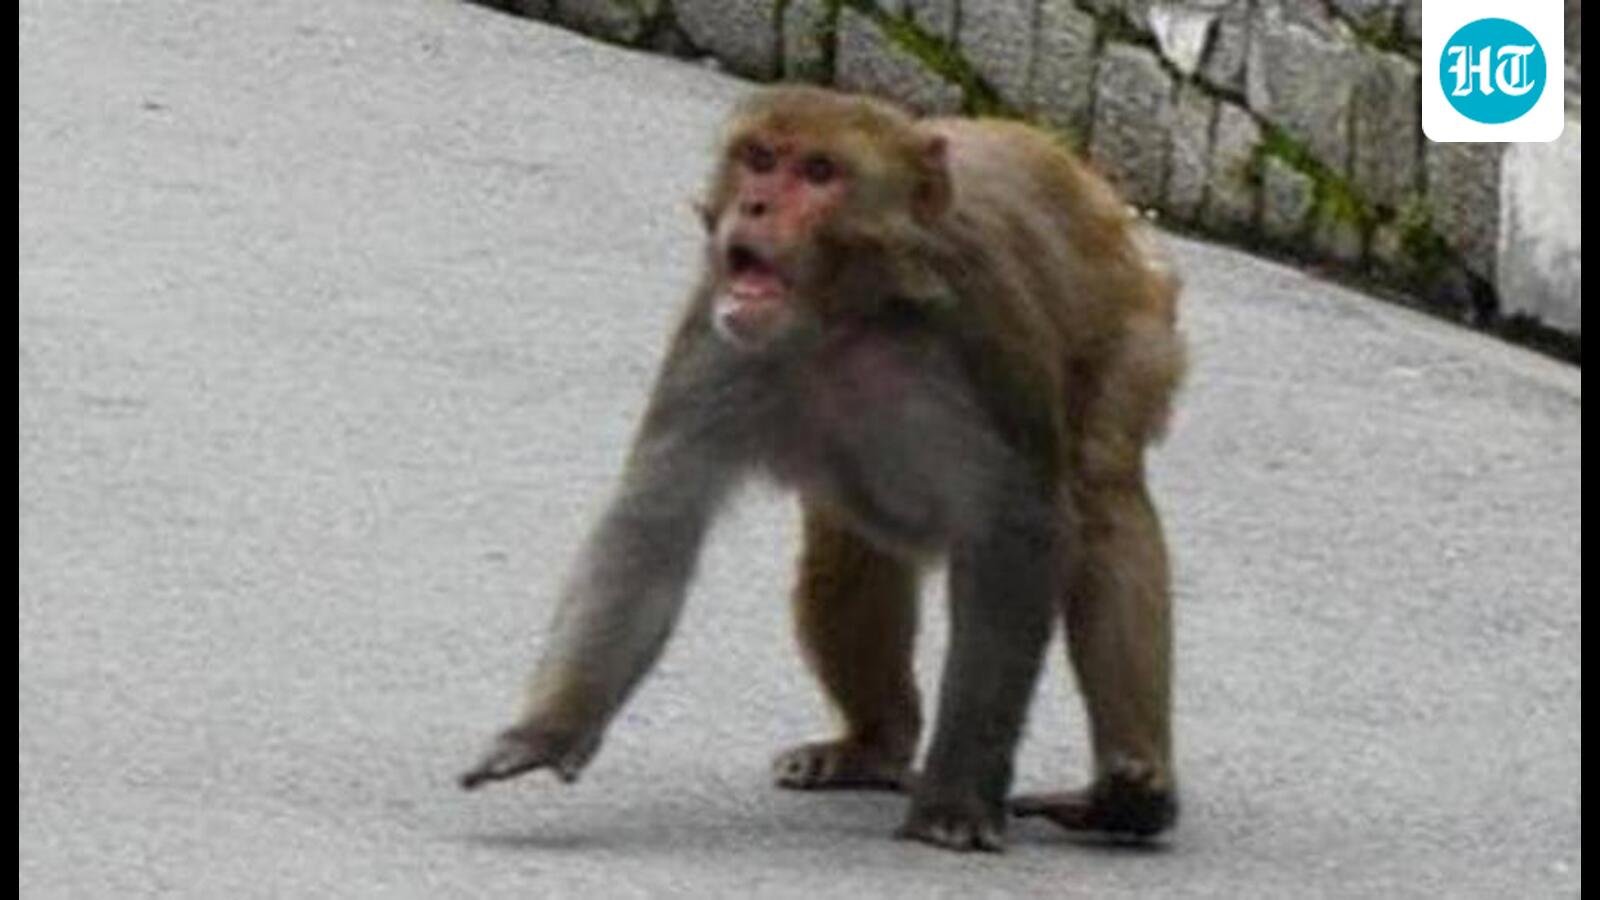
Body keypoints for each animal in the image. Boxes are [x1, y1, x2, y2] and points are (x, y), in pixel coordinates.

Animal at [460, 85, 1185, 853]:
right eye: (758, 159)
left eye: (817, 172)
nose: (754, 207)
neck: (850, 316)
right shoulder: (714, 335)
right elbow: (655, 523)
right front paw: (547, 730)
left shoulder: (992, 327)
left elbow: (1019, 533)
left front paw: (956, 797)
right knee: (849, 545)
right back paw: (875, 745)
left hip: (1138, 316)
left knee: (1102, 498)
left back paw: (1130, 795)